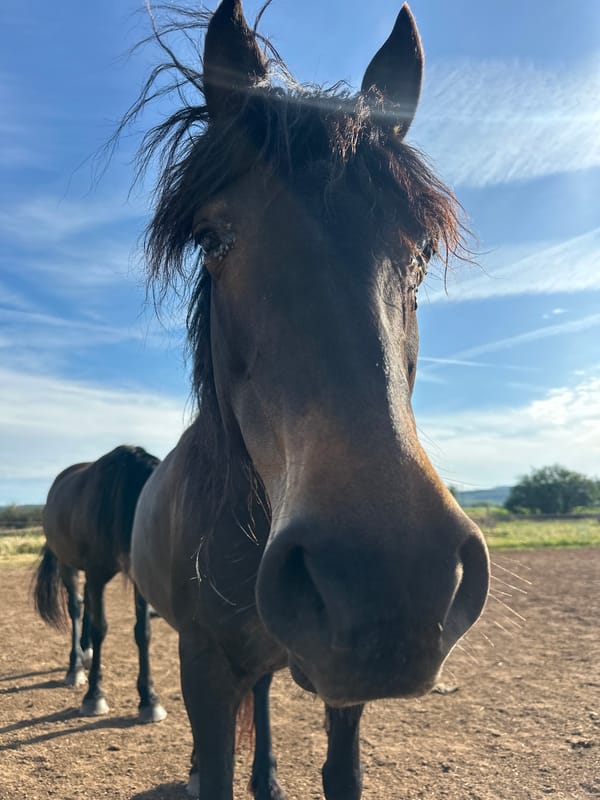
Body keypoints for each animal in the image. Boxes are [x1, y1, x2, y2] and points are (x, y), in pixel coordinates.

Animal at [33, 445, 166, 723]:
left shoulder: (134, 580)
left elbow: (143, 631)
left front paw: (149, 699)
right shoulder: (96, 574)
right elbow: (100, 627)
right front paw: (94, 696)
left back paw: (86, 651)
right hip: (68, 565)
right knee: (76, 606)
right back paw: (75, 667)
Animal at [129, 1, 490, 797]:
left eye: (421, 253)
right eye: (212, 239)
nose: (389, 582)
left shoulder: (342, 684)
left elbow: (339, 772)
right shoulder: (203, 666)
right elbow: (215, 767)